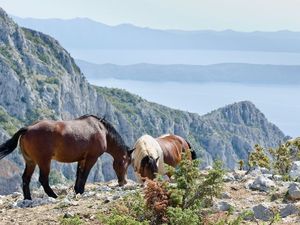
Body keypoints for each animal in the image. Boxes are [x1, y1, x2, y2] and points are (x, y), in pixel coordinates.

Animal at [0, 115, 131, 200]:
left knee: (26, 178)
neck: (101, 130)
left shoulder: (81, 158)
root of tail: (28, 128)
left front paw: (77, 190)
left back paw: (28, 198)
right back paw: (54, 196)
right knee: (43, 179)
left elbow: (79, 174)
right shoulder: (91, 158)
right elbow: (85, 174)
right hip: (44, 162)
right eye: (126, 162)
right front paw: (81, 191)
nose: (123, 182)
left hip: (30, 161)